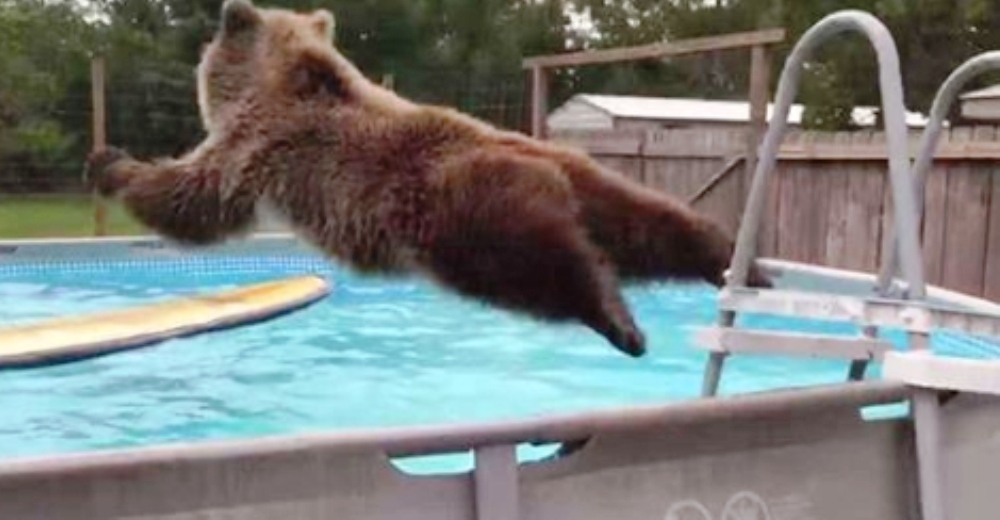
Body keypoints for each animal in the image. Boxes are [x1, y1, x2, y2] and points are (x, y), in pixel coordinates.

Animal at [88, 0, 772, 358]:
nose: (229, 11)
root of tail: (546, 163)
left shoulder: (258, 147)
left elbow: (193, 199)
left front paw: (112, 164)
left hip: (457, 215)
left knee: (543, 267)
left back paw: (617, 321)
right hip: (594, 184)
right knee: (655, 226)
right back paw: (734, 263)